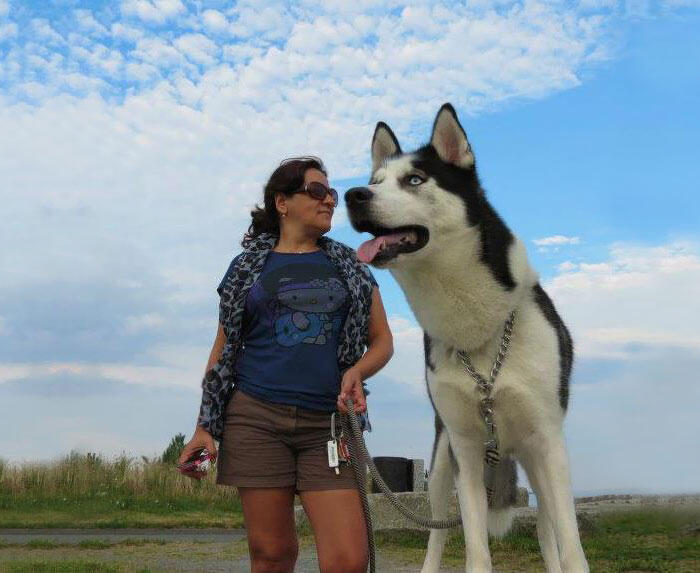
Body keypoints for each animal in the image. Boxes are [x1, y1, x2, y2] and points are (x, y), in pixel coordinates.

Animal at [348, 104, 588, 572]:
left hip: (534, 462)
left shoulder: (550, 442)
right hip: (443, 465)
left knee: (548, 529)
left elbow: (570, 546)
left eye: (415, 179)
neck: (478, 330)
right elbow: (475, 550)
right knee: (436, 534)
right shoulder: (467, 450)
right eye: (375, 181)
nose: (352, 195)